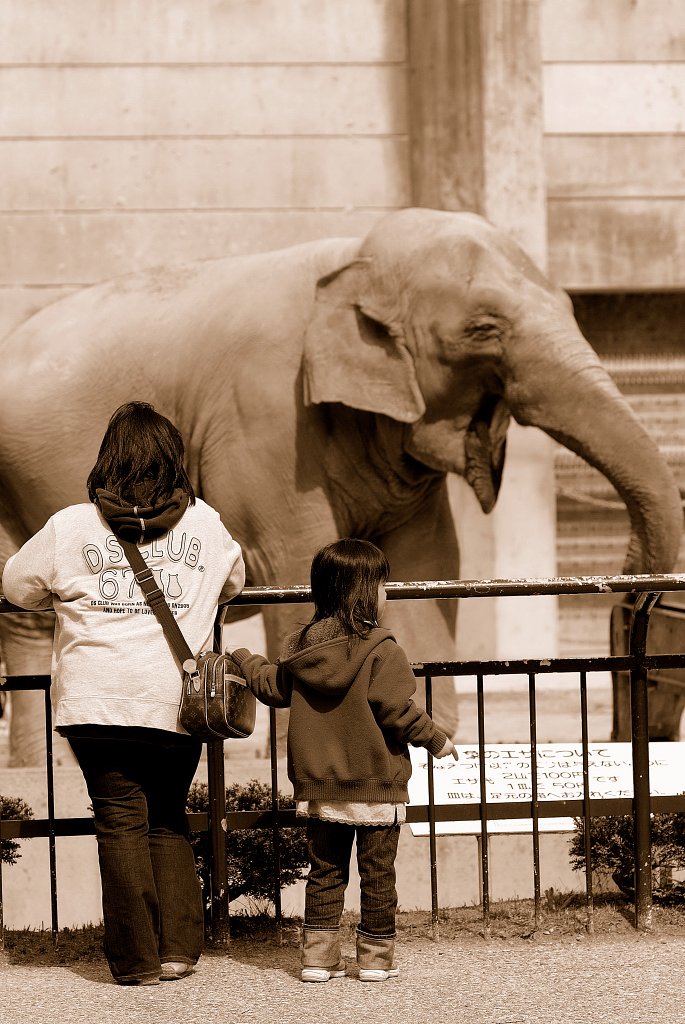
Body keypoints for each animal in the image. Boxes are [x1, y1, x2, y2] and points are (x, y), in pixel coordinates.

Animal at [0, 207, 682, 766]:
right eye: (484, 329)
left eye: (570, 305)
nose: (633, 601)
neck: (355, 261)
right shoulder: (267, 420)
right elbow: (291, 559)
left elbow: (428, 564)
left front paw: (438, 737)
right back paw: (41, 769)